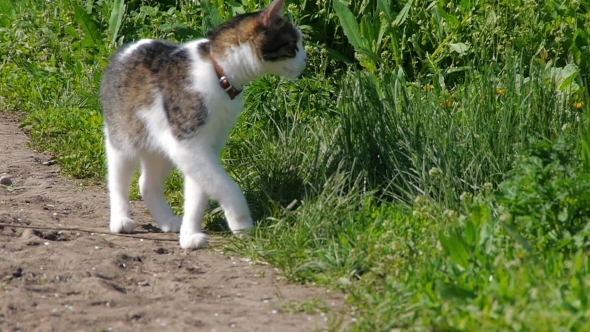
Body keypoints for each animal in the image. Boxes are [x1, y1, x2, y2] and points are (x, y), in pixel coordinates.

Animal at [99, 0, 308, 249]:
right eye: (293, 44)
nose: (306, 60)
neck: (219, 75)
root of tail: (124, 50)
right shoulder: (189, 145)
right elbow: (227, 187)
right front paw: (243, 226)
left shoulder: (205, 147)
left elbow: (198, 193)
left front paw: (189, 235)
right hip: (123, 138)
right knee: (117, 181)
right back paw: (120, 219)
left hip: (160, 145)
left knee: (146, 184)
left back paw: (167, 220)